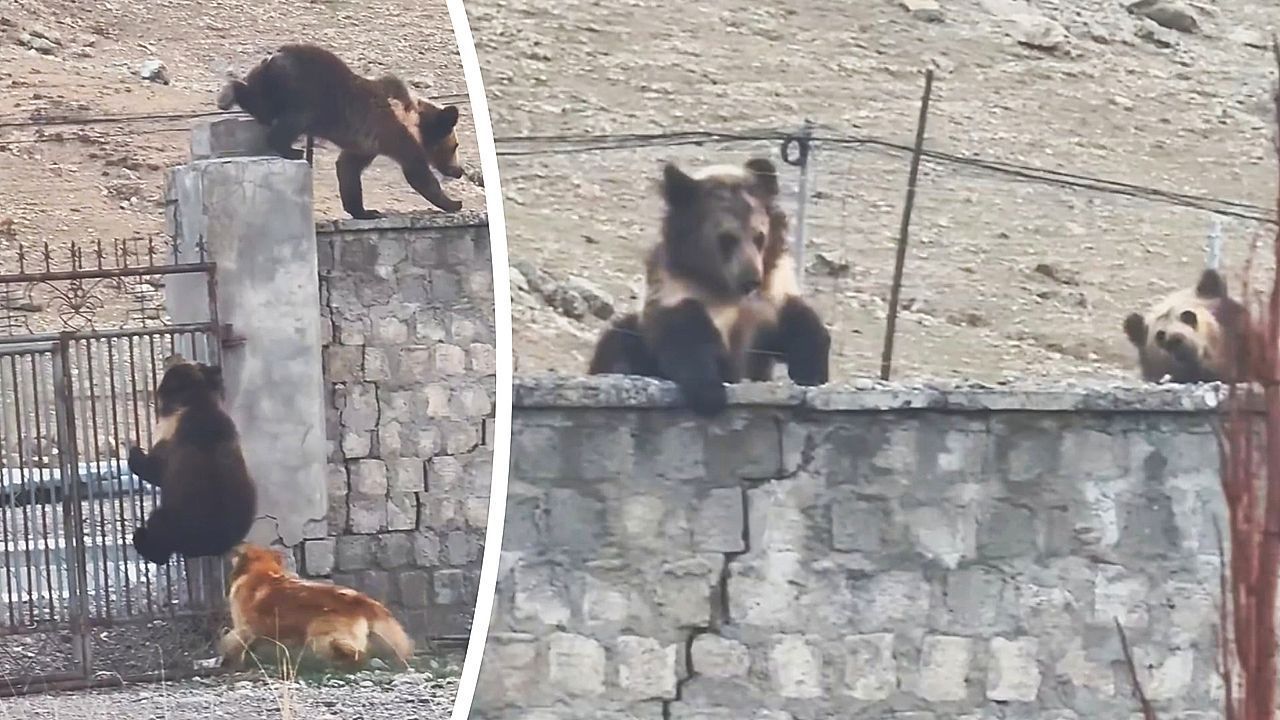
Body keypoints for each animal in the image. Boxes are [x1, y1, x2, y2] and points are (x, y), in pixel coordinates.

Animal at [127, 355, 257, 566]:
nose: (171, 356)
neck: (196, 402)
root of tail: (212, 547)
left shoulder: (171, 436)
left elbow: (153, 471)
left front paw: (132, 448)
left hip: (177, 522)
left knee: (159, 529)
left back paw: (141, 538)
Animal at [215, 43, 465, 218]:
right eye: (454, 145)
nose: (459, 171)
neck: (413, 122)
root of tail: (273, 56)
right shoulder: (395, 134)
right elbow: (418, 174)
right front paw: (453, 203)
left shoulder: (367, 143)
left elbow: (348, 169)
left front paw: (366, 212)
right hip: (305, 93)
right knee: (291, 120)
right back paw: (290, 149)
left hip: (271, 85)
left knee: (260, 105)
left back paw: (229, 94)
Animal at [588, 157, 831, 416]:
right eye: (727, 239)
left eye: (759, 236)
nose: (750, 280)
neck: (726, 289)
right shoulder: (680, 287)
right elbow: (686, 337)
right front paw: (710, 391)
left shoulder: (771, 292)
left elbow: (799, 323)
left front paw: (811, 373)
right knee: (618, 344)